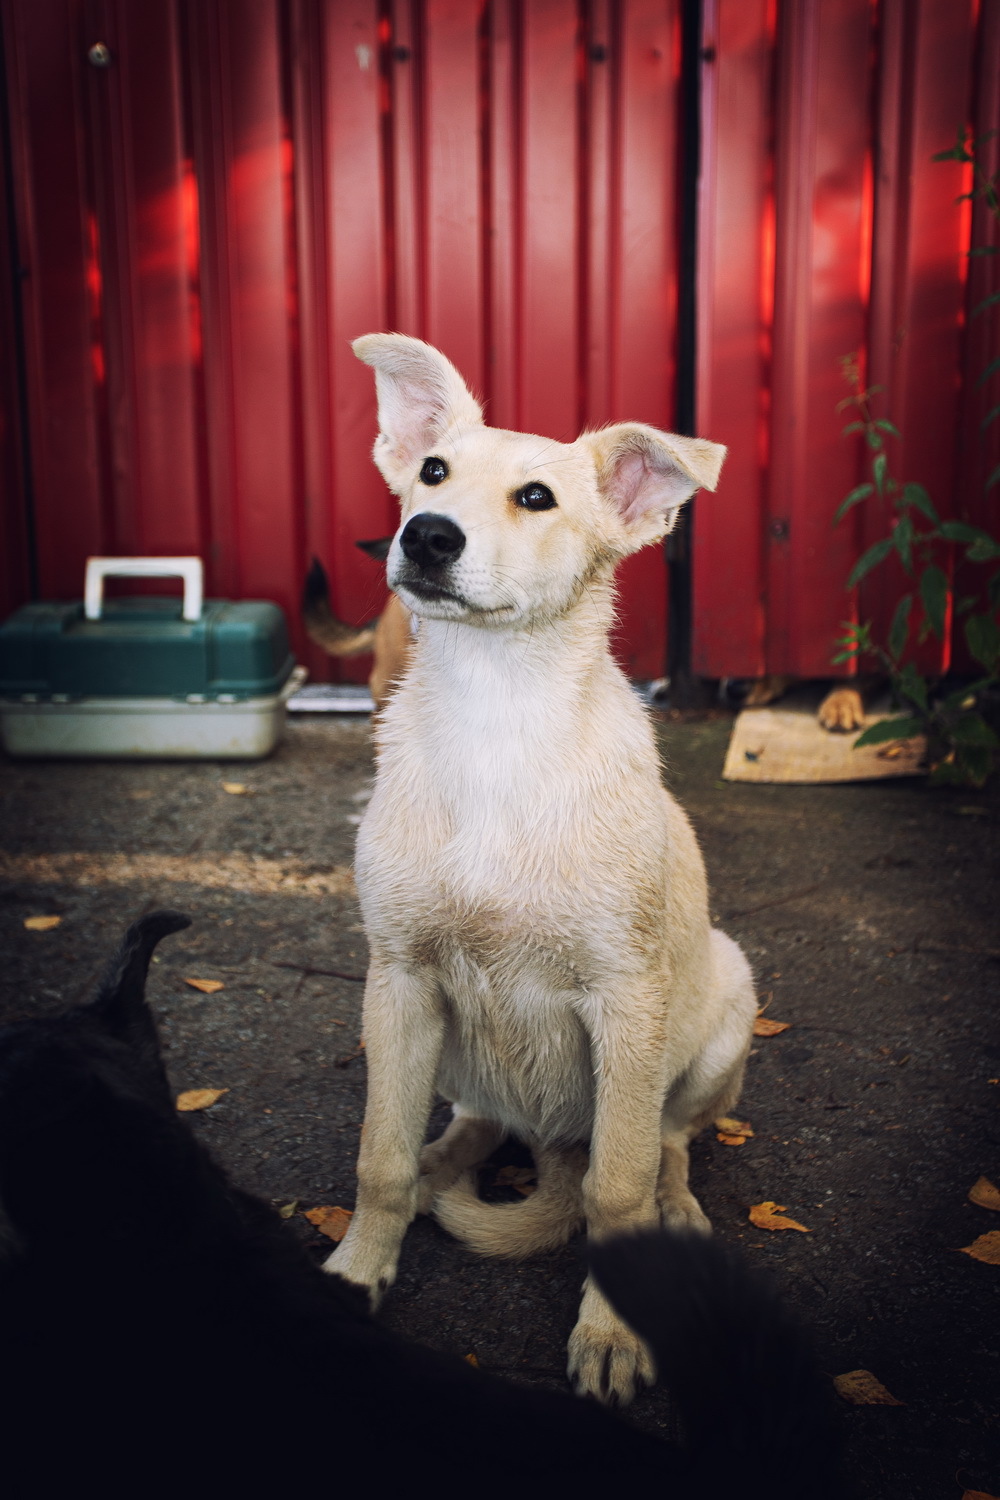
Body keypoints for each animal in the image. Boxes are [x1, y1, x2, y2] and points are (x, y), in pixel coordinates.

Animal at [0, 918, 845, 1494]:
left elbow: (621, 1183)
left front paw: (612, 1325)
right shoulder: (400, 985)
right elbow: (380, 1154)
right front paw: (366, 1250)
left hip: (719, 1013)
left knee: (666, 1140)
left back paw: (671, 1201)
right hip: (437, 1024)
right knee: (473, 1120)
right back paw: (432, 1172)